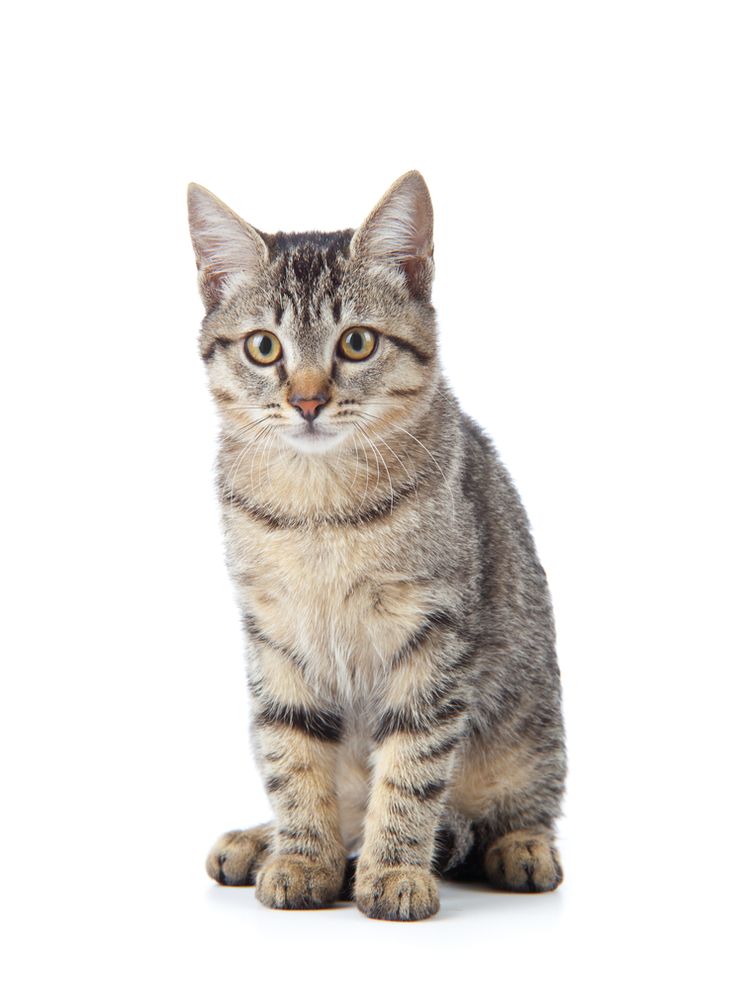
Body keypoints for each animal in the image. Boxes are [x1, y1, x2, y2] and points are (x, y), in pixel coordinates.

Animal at [187, 170, 568, 920]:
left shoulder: (432, 631)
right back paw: (263, 839)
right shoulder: (274, 634)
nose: (307, 401)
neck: (318, 505)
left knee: (522, 803)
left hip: (530, 726)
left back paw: (521, 847)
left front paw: (393, 870)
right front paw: (303, 857)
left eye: (357, 343)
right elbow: (292, 752)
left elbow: (412, 764)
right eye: (263, 347)